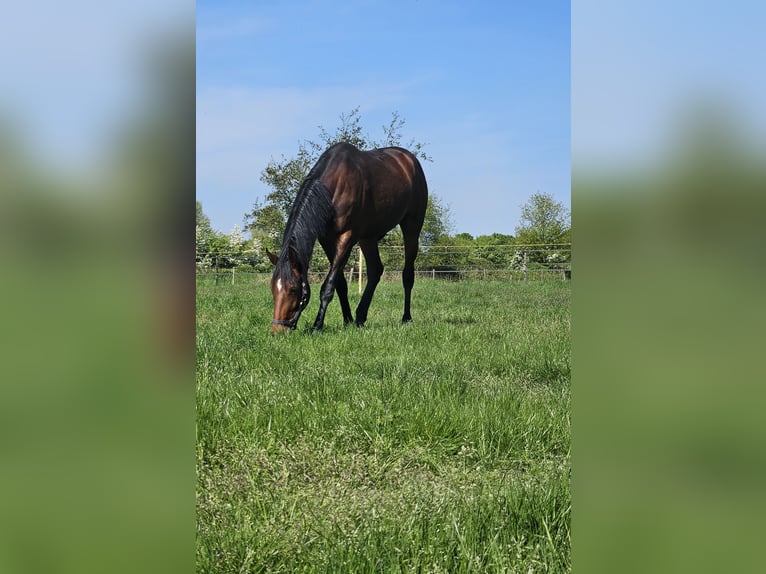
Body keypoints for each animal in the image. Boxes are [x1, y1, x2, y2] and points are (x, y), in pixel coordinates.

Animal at [266, 142, 428, 333]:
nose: (277, 330)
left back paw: (406, 318)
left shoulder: (346, 237)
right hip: (368, 238)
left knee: (407, 274)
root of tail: (410, 160)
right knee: (375, 270)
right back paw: (360, 317)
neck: (333, 188)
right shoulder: (326, 239)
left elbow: (328, 285)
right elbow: (340, 283)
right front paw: (348, 320)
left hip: (411, 227)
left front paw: (317, 326)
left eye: (292, 289)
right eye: (272, 287)